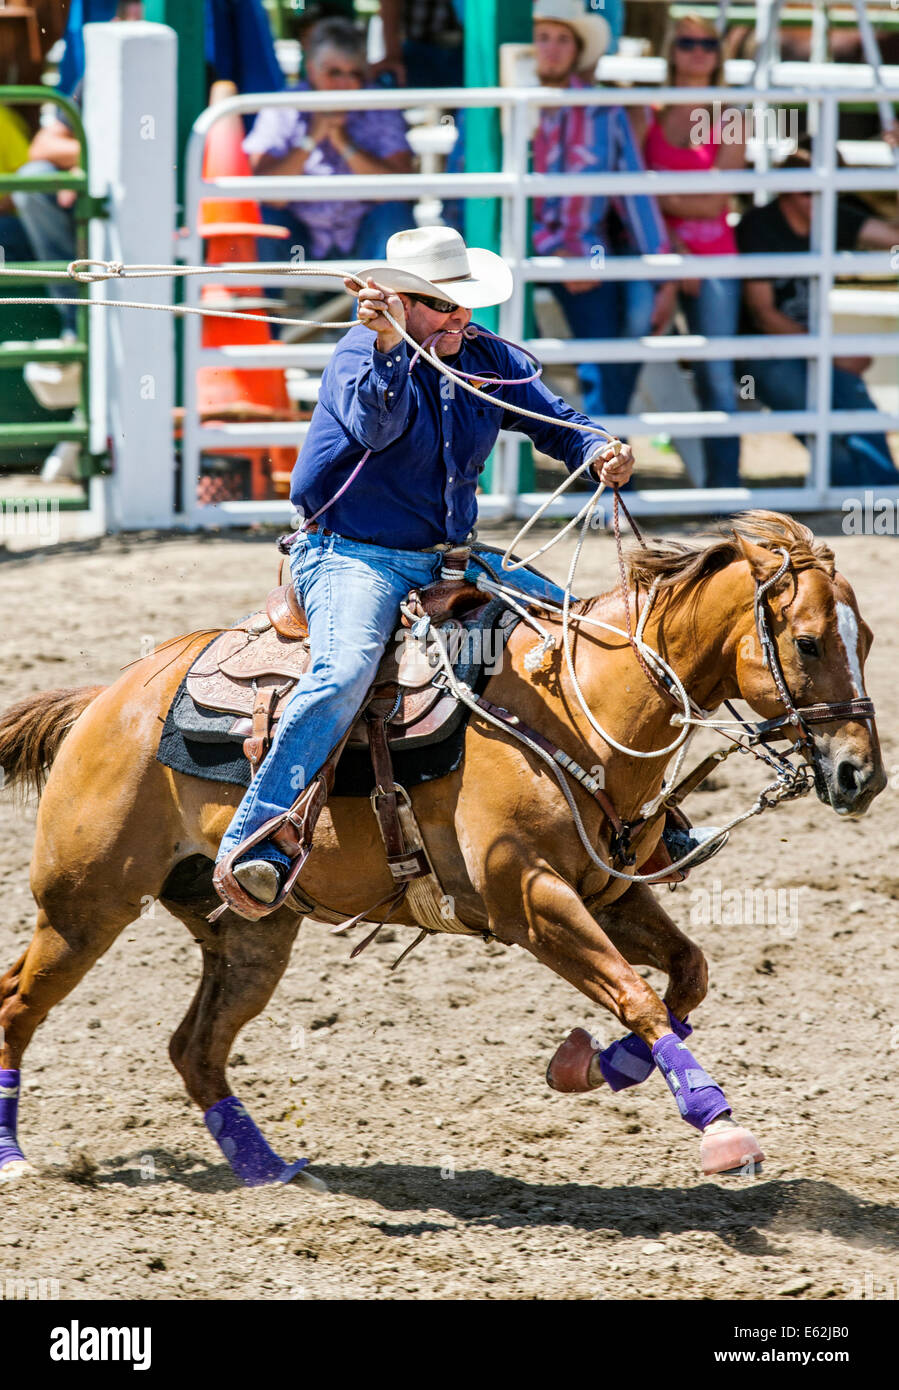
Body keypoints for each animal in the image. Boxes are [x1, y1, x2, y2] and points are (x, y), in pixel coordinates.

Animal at [0, 511, 884, 1187]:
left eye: (868, 637)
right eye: (808, 642)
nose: (860, 775)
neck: (576, 708)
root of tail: (106, 698)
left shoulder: (607, 893)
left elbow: (686, 976)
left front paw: (590, 1066)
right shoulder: (530, 900)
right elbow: (637, 993)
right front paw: (718, 1128)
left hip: (250, 933)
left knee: (195, 1047)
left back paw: (268, 1170)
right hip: (85, 906)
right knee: (18, 1005)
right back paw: (15, 1157)